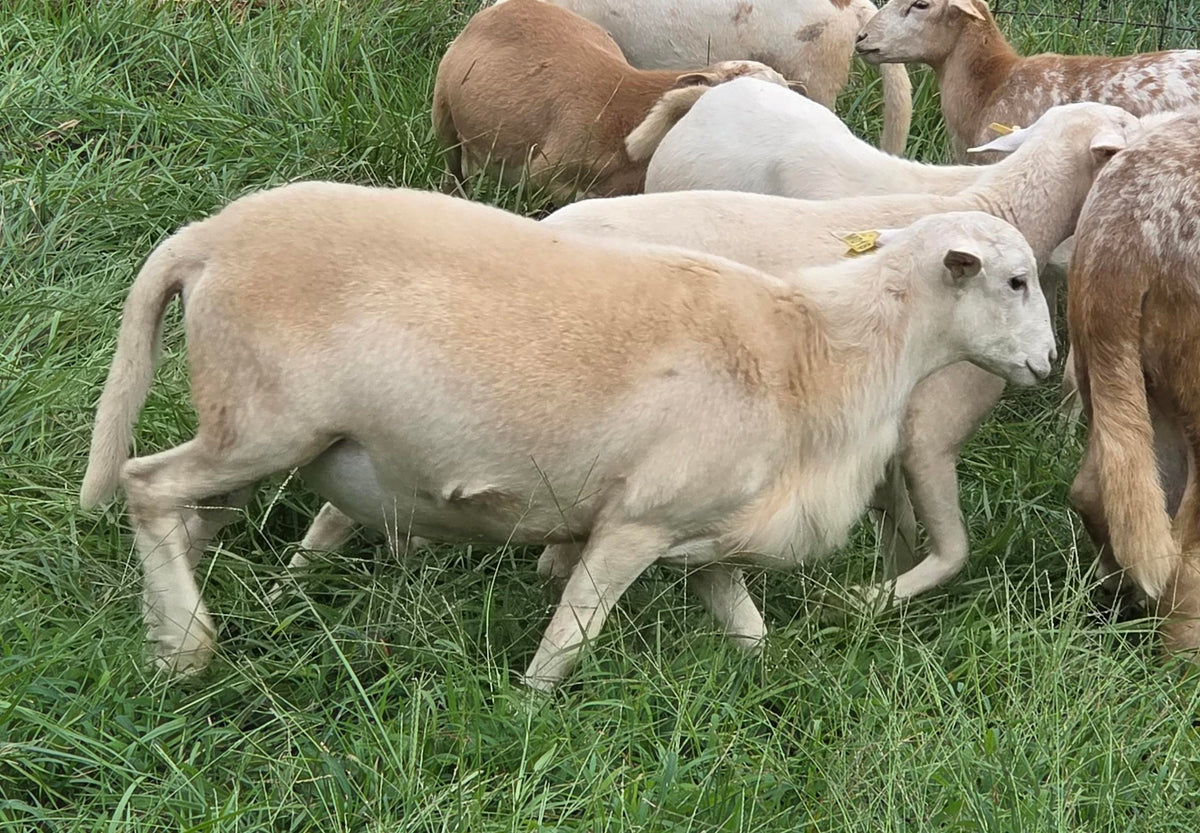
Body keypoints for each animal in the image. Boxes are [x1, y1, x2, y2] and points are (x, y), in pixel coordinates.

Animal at [77, 182, 1052, 688]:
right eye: (1014, 281)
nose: (1048, 361)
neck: (822, 349)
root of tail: (204, 239)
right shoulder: (636, 520)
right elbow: (571, 637)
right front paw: (529, 711)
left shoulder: (708, 527)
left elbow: (747, 629)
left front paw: (768, 696)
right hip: (264, 426)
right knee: (144, 484)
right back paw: (188, 651)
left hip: (251, 433)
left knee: (188, 519)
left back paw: (169, 631)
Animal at [291, 103, 1136, 616]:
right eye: (1014, 283)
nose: (1049, 358)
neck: (998, 203)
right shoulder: (928, 433)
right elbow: (952, 549)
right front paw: (867, 603)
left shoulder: (878, 439)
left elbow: (892, 518)